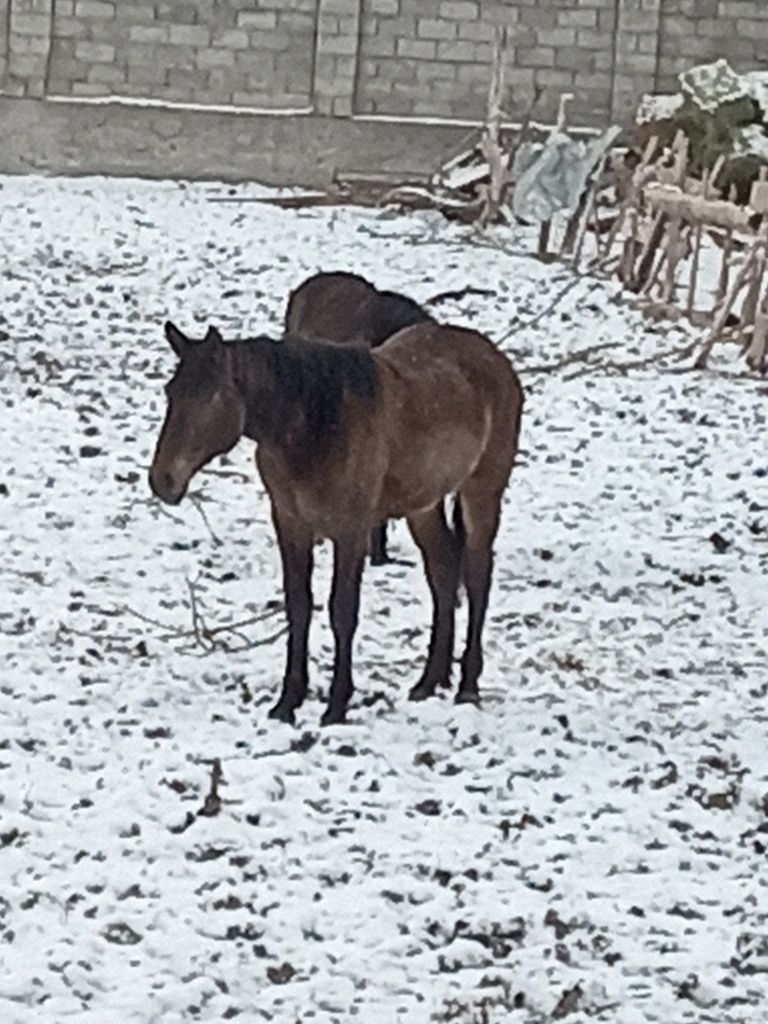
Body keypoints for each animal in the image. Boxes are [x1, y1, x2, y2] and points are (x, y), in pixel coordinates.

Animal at [149, 319, 524, 729]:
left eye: (213, 397)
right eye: (171, 392)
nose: (162, 480)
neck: (314, 426)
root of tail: (497, 360)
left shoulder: (352, 530)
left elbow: (342, 611)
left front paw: (336, 705)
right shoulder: (290, 525)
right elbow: (298, 607)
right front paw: (287, 703)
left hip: (481, 492)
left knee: (477, 577)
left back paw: (468, 685)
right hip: (423, 505)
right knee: (442, 574)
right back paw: (429, 681)